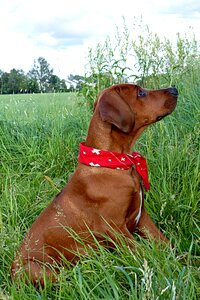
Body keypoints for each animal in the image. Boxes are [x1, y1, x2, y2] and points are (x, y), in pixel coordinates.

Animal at [10, 83, 178, 284]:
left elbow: (166, 244)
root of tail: (11, 274)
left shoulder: (142, 218)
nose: (175, 90)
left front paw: (186, 262)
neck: (115, 162)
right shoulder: (114, 227)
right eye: (141, 93)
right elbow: (145, 253)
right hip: (38, 269)